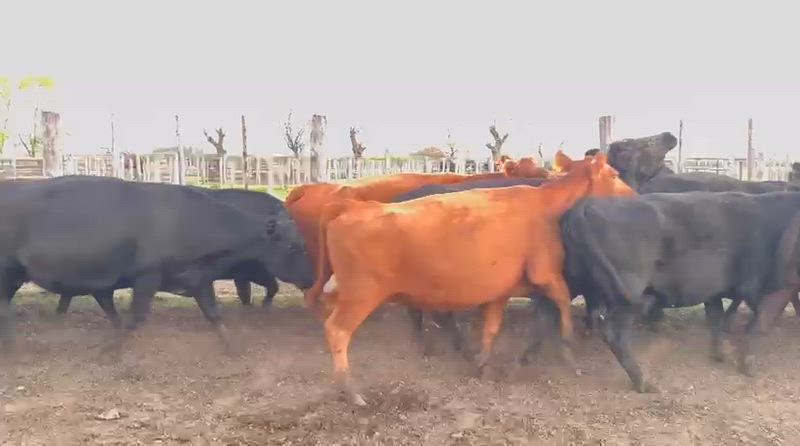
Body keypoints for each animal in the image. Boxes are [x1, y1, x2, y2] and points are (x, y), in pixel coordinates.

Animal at [0, 177, 313, 353]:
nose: (311, 277)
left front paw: (234, 348)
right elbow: (135, 317)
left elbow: (214, 314)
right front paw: (110, 352)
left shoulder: (197, 278)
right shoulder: (147, 276)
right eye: (293, 246)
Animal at [303, 152, 634, 406]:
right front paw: (568, 351)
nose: (634, 195)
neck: (547, 205)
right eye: (615, 174)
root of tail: (352, 206)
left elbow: (492, 327)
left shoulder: (502, 288)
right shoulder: (547, 273)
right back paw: (351, 390)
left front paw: (481, 361)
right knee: (338, 331)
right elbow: (563, 304)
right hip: (361, 295)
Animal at [558, 190, 800, 393]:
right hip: (629, 294)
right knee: (614, 335)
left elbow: (717, 319)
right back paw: (643, 382)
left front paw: (719, 355)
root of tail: (588, 204)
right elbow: (759, 325)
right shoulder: (776, 289)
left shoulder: (713, 290)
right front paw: (748, 367)